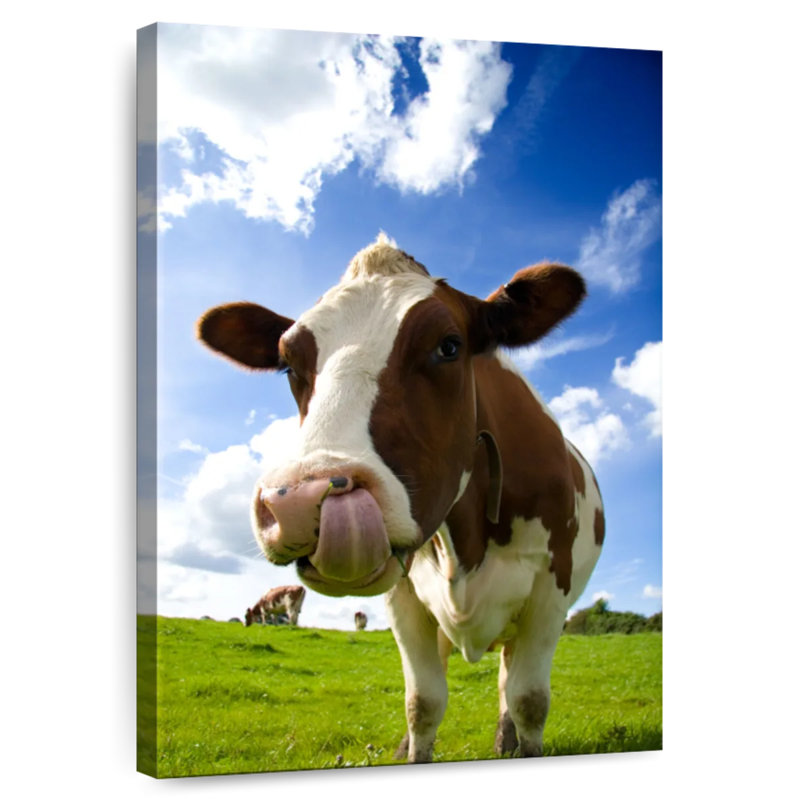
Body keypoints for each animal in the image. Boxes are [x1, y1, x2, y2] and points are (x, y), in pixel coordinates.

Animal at [197, 234, 604, 762]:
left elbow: (529, 700)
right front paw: (413, 748)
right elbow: (423, 702)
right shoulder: (404, 597)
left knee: (505, 682)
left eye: (449, 346)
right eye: (288, 364)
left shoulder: (549, 592)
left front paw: (521, 744)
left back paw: (504, 740)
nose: (299, 500)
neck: (467, 542)